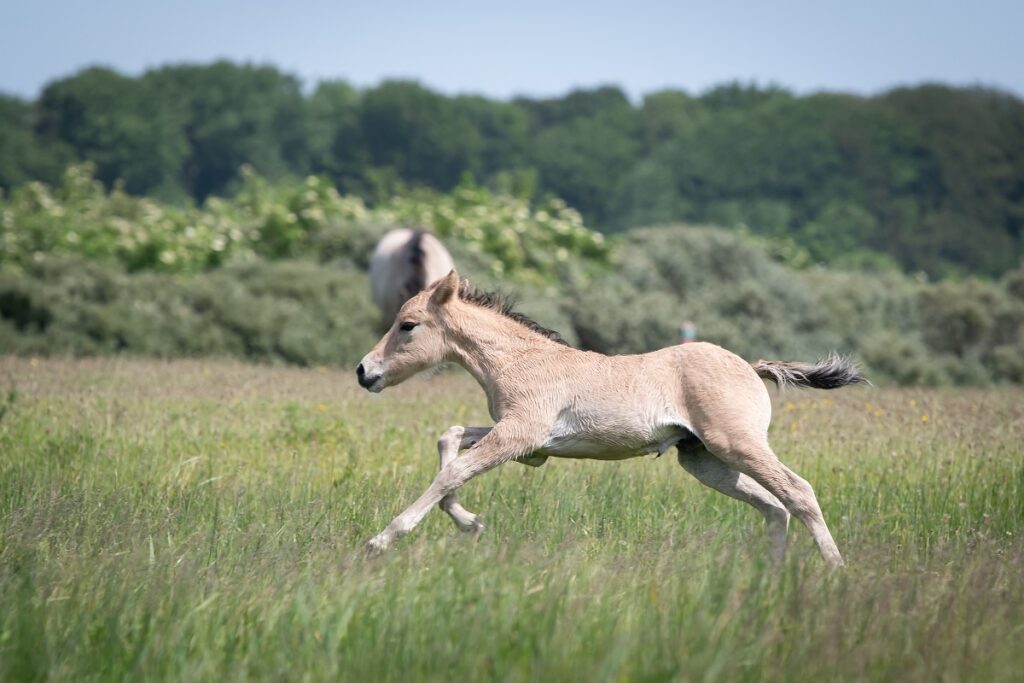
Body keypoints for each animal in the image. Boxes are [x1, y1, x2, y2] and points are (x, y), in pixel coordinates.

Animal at [356, 270, 868, 565]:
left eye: (408, 325)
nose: (364, 371)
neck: (518, 360)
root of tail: (749, 365)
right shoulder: (529, 447)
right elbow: (450, 439)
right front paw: (469, 522)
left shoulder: (518, 436)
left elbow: (453, 470)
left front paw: (381, 541)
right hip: (703, 460)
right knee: (773, 506)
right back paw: (772, 580)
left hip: (738, 445)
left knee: (798, 492)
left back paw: (835, 570)